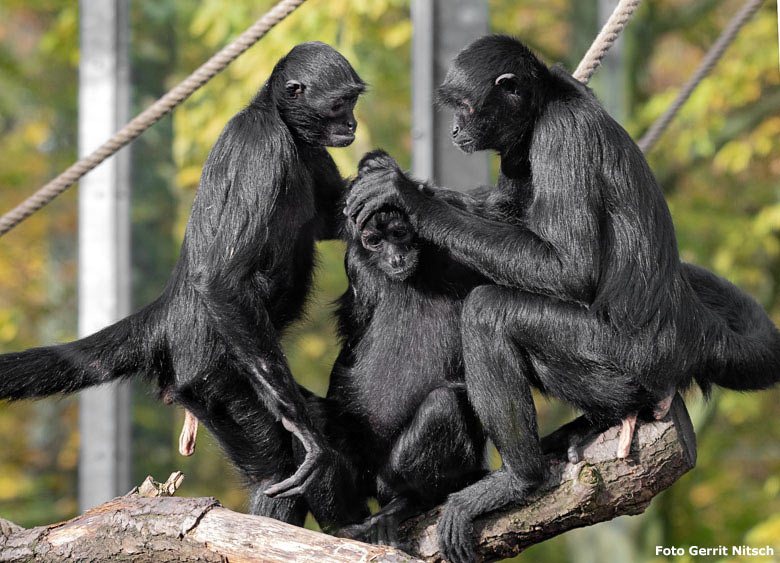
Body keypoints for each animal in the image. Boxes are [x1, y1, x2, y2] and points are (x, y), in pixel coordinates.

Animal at [0, 40, 366, 528]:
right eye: (341, 104)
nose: (353, 125)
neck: (275, 117)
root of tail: (171, 309)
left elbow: (336, 218)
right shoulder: (264, 148)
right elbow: (221, 279)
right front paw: (304, 430)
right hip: (216, 383)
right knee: (278, 467)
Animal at [324, 200, 488, 544]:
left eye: (399, 233)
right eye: (375, 241)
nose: (394, 258)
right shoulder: (356, 265)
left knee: (443, 404)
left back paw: (411, 500)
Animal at [348, 35, 780, 563]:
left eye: (464, 108)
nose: (454, 129)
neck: (549, 101)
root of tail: (686, 330)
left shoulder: (559, 136)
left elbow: (570, 269)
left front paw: (410, 196)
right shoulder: (517, 152)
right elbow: (506, 214)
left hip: (622, 355)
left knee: (490, 311)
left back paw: (521, 478)